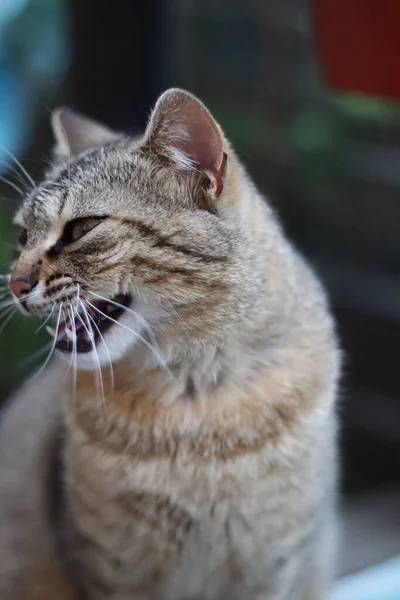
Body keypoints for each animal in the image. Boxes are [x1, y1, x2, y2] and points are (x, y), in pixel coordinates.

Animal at [0, 89, 340, 600]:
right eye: (22, 236)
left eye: (81, 229)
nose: (15, 284)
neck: (193, 391)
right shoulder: (109, 567)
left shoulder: (274, 565)